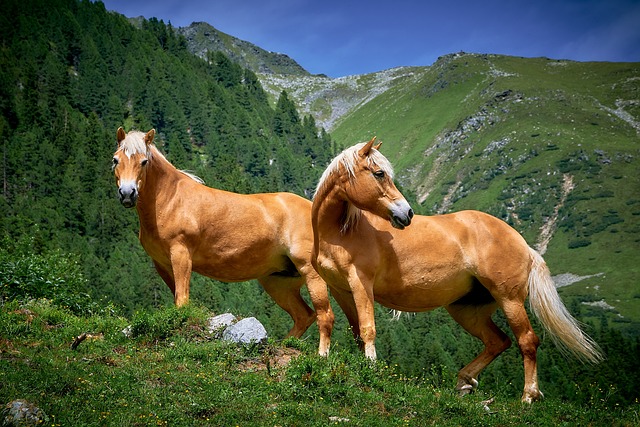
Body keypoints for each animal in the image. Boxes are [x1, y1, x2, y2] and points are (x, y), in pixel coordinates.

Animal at [113, 129, 336, 356]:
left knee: (325, 314)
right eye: (116, 160)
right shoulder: (162, 264)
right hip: (278, 282)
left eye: (144, 161)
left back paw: (322, 356)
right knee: (303, 316)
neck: (170, 200)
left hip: (310, 272)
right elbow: (176, 296)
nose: (127, 193)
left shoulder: (181, 255)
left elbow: (182, 300)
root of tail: (312, 209)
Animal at [312, 138, 604, 404]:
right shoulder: (341, 290)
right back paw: (464, 382)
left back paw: (528, 396)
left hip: (510, 300)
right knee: (498, 342)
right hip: (466, 310)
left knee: (527, 341)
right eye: (379, 173)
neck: (341, 231)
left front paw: (372, 370)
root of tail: (522, 242)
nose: (407, 213)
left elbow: (368, 329)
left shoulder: (362, 284)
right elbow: (355, 331)